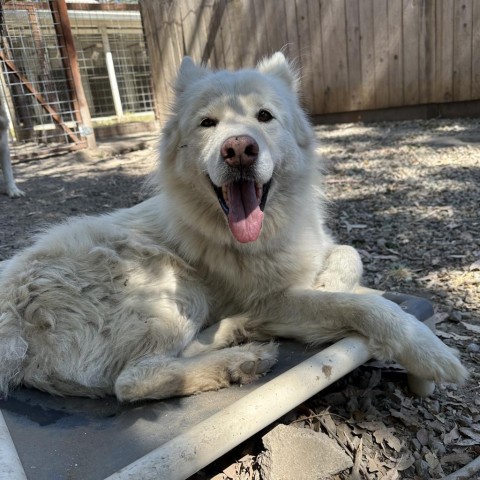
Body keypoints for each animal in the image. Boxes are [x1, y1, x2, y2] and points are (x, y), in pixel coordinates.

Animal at [0, 53, 464, 402]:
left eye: (265, 116)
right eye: (208, 123)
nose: (239, 149)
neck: (269, 228)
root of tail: (13, 327)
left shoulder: (309, 258)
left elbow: (351, 254)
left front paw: (331, 279)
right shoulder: (277, 298)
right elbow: (368, 307)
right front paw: (432, 353)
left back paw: (240, 332)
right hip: (176, 286)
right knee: (132, 381)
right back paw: (240, 362)